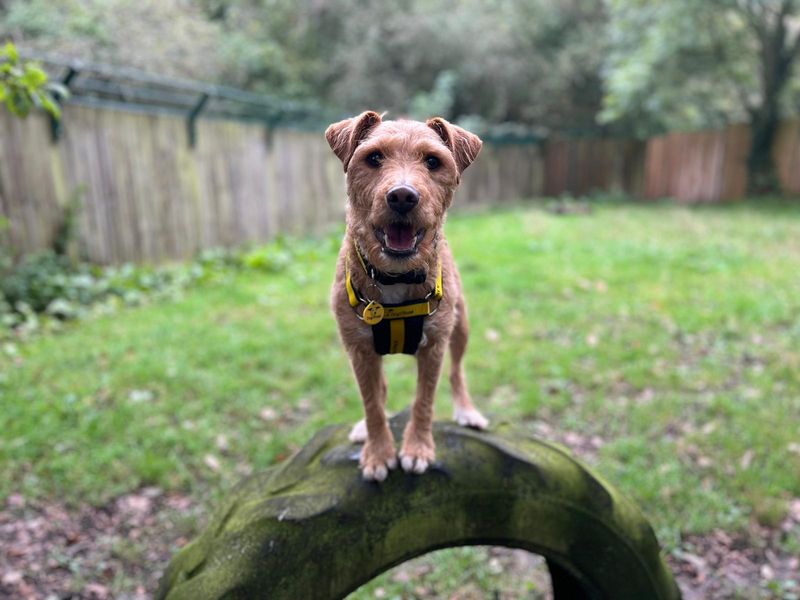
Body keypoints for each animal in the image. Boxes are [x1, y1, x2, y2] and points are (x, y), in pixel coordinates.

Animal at [324, 110, 488, 480]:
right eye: (373, 158)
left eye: (433, 161)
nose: (402, 196)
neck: (394, 275)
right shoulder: (359, 350)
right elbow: (372, 402)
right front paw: (378, 452)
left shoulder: (435, 346)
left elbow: (424, 400)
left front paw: (417, 448)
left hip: (462, 327)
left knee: (457, 372)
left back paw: (467, 411)